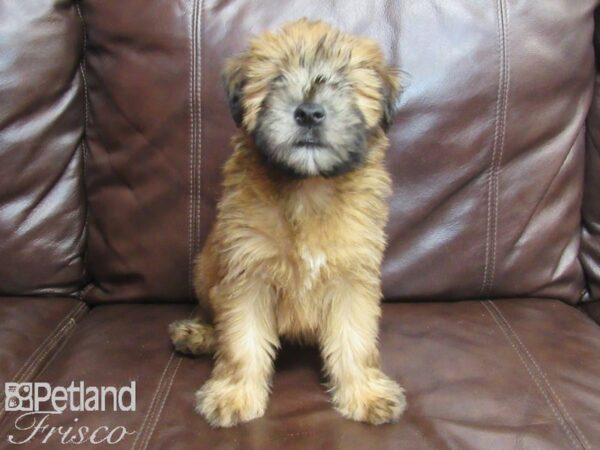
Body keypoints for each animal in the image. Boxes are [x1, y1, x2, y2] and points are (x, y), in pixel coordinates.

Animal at [169, 19, 406, 428]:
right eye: (277, 78)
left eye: (344, 82)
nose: (309, 113)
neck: (308, 188)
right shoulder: (247, 271)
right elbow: (242, 340)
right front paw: (234, 394)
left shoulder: (352, 276)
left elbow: (355, 340)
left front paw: (364, 392)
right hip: (206, 267)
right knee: (211, 309)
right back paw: (197, 333)